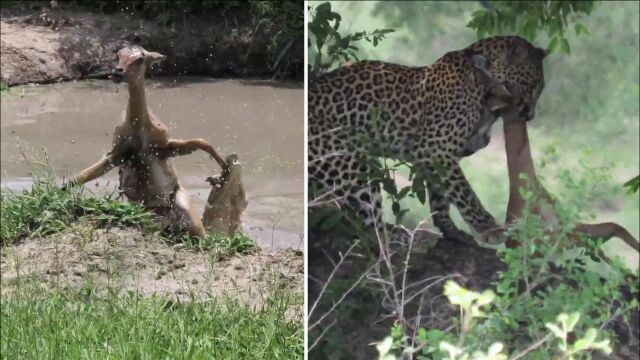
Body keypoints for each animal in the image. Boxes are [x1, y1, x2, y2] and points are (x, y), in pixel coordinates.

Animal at [308, 35, 544, 245]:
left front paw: (451, 230)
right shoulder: (435, 148)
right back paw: (398, 236)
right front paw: (489, 228)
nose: (530, 115)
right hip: (351, 162)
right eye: (529, 86)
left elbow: (442, 195)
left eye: (539, 90)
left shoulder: (441, 156)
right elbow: (464, 193)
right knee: (373, 226)